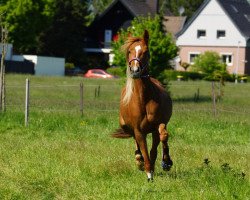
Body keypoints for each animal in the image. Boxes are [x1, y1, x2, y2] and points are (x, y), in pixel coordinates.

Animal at [112, 30, 173, 181]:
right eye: (129, 51)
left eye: (145, 51)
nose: (135, 70)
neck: (144, 100)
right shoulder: (139, 130)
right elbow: (144, 149)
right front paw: (148, 172)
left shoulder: (158, 125)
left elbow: (161, 139)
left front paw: (166, 162)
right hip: (125, 125)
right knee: (136, 142)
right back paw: (139, 160)